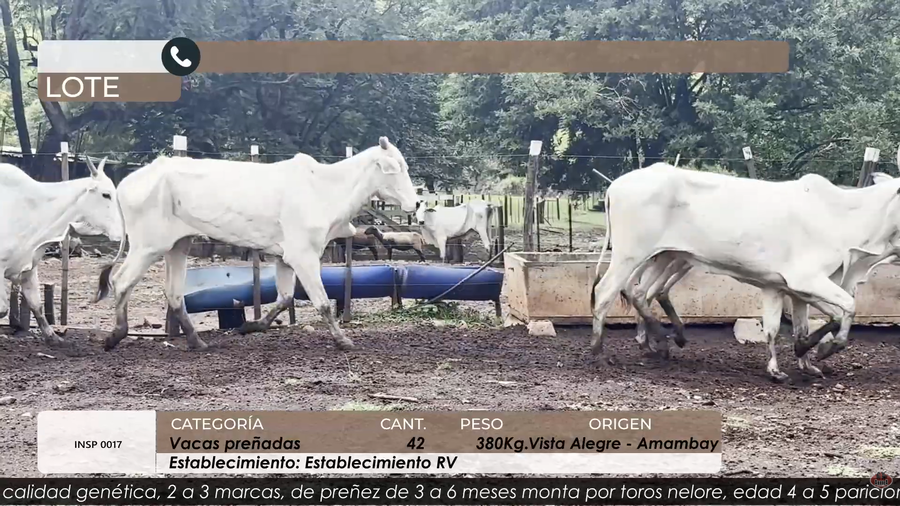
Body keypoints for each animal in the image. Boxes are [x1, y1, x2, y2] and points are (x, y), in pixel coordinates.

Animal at [1, 157, 122, 344]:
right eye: (106, 194)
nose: (121, 230)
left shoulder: (29, 268)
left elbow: (36, 304)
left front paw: (54, 338)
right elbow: (3, 309)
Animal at [93, 137, 420, 352]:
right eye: (400, 167)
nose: (416, 202)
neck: (325, 188)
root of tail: (126, 183)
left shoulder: (285, 259)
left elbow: (284, 298)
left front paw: (249, 326)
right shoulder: (303, 256)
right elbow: (324, 303)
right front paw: (343, 340)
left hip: (179, 245)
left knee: (173, 293)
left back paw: (198, 342)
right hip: (147, 246)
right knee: (121, 281)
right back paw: (115, 336)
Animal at [590, 159, 900, 381]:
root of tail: (616, 185)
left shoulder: (787, 287)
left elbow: (794, 327)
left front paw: (801, 361)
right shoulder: (806, 279)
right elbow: (848, 307)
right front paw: (822, 351)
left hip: (662, 256)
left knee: (639, 292)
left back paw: (660, 344)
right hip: (631, 254)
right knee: (606, 292)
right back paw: (600, 354)